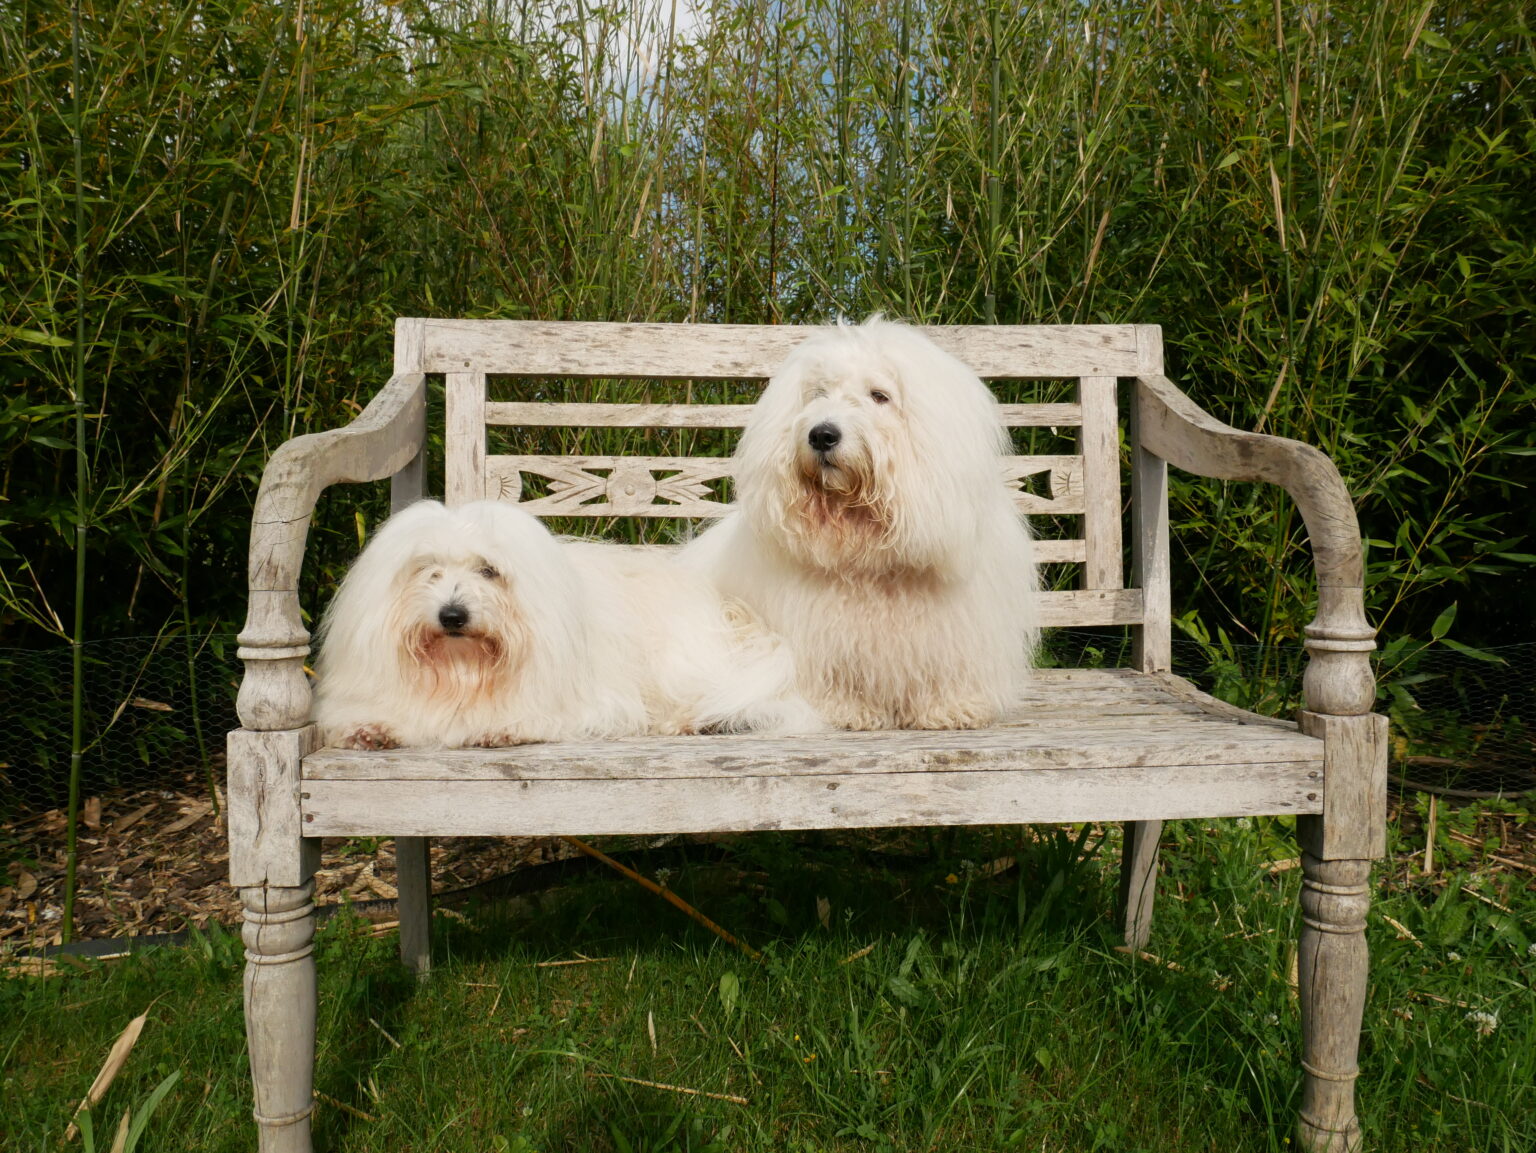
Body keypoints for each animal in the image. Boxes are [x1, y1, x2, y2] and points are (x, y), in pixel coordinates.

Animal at [311, 497, 817, 749]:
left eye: (488, 571)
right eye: (428, 570)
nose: (452, 615)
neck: (463, 671)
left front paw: (506, 726)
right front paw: (370, 729)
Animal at [688, 316, 1038, 730]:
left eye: (879, 395)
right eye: (818, 394)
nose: (822, 434)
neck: (867, 550)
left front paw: (952, 708)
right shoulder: (816, 638)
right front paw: (846, 710)